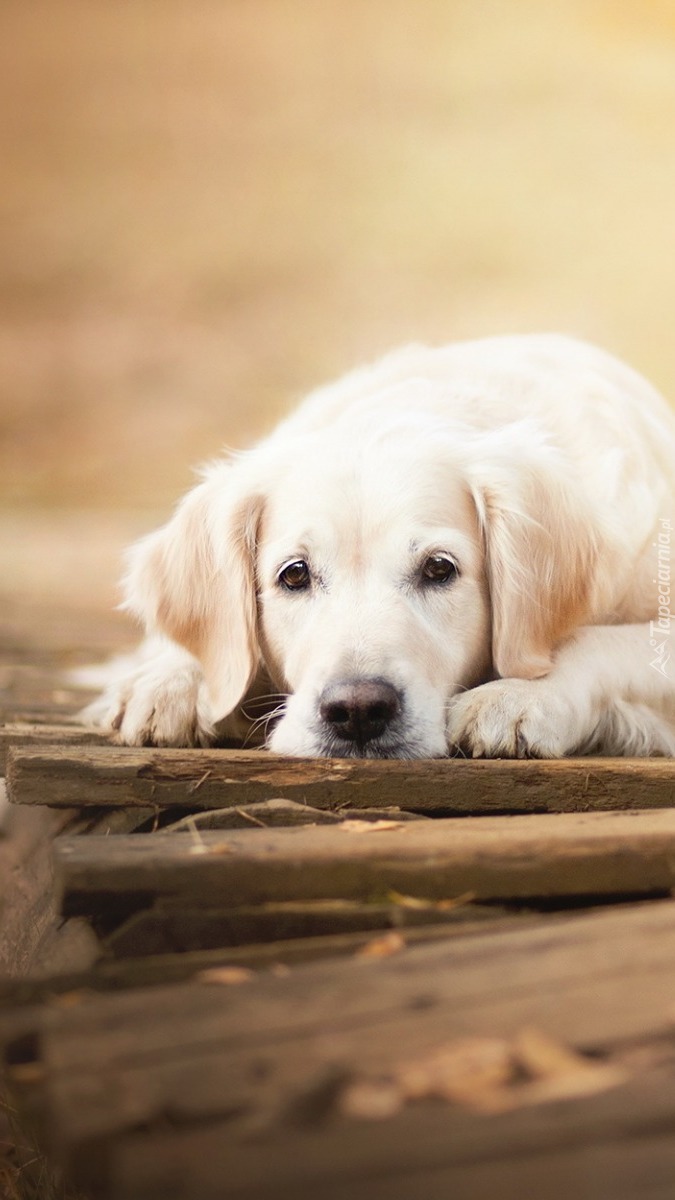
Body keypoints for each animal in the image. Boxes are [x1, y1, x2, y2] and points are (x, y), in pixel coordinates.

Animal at [84, 333, 672, 753]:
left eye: (439, 569)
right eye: (294, 574)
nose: (358, 711)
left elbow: (597, 642)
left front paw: (522, 695)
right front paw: (171, 682)